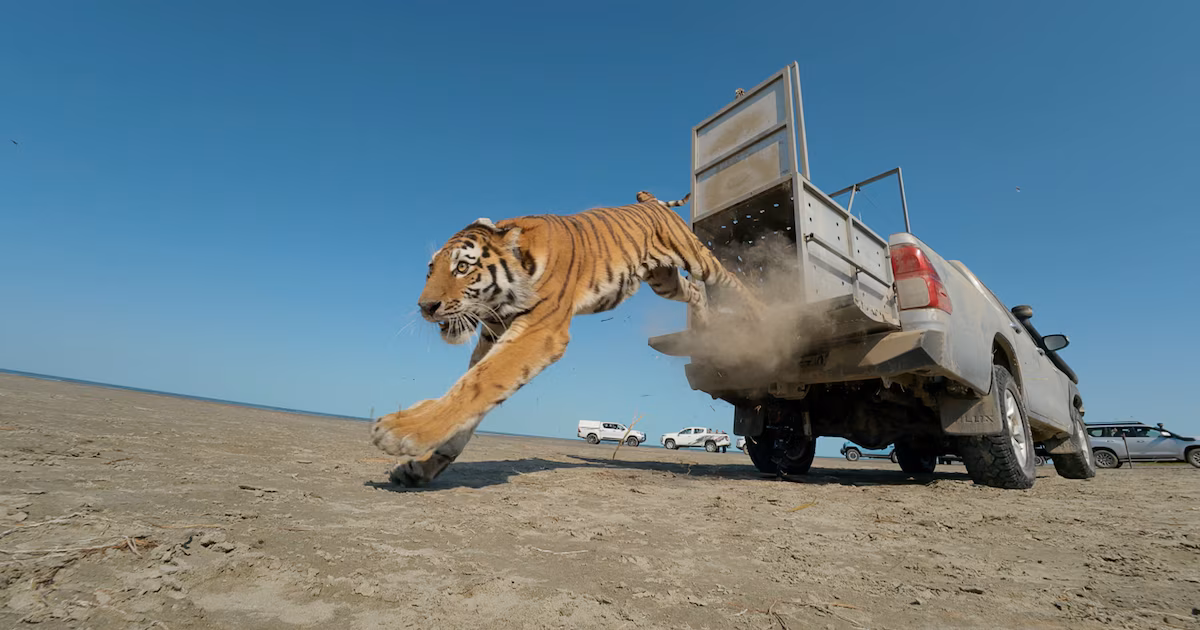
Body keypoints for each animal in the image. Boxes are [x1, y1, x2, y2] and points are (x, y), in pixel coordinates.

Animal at [371, 191, 765, 486]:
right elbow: (472, 391)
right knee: (694, 291)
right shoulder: (493, 334)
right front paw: (422, 466)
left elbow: (478, 383)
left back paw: (760, 315)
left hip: (694, 255)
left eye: (462, 268)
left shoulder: (540, 331)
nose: (425, 307)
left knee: (727, 279)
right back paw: (703, 329)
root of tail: (650, 201)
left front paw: (401, 430)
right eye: (430, 270)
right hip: (663, 279)